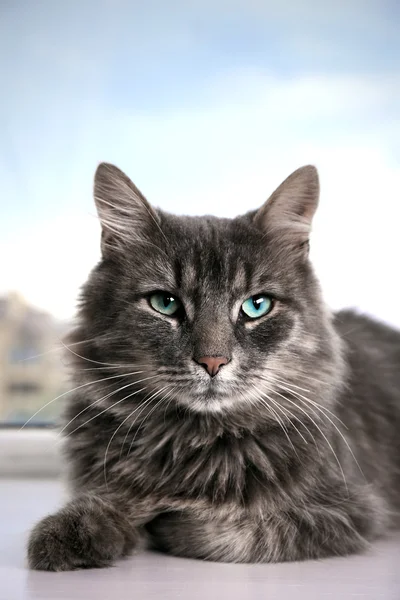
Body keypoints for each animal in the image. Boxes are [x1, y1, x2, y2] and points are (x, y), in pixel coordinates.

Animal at [28, 162, 400, 568]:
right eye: (164, 303)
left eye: (256, 306)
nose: (212, 360)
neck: (190, 440)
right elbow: (107, 499)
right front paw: (75, 531)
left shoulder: (350, 512)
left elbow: (228, 532)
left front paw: (167, 519)